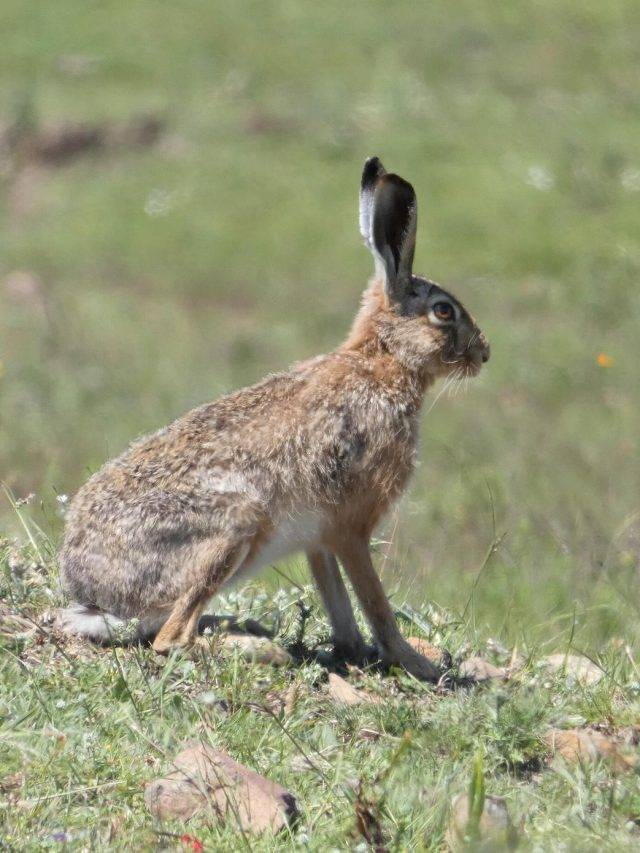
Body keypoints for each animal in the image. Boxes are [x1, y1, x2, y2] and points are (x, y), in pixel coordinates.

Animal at [56, 156, 489, 681]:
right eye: (444, 311)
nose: (485, 353)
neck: (382, 362)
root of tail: (93, 594)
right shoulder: (350, 525)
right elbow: (375, 604)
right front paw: (416, 664)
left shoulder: (319, 536)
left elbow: (339, 603)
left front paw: (353, 650)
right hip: (235, 523)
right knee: (169, 638)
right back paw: (261, 649)